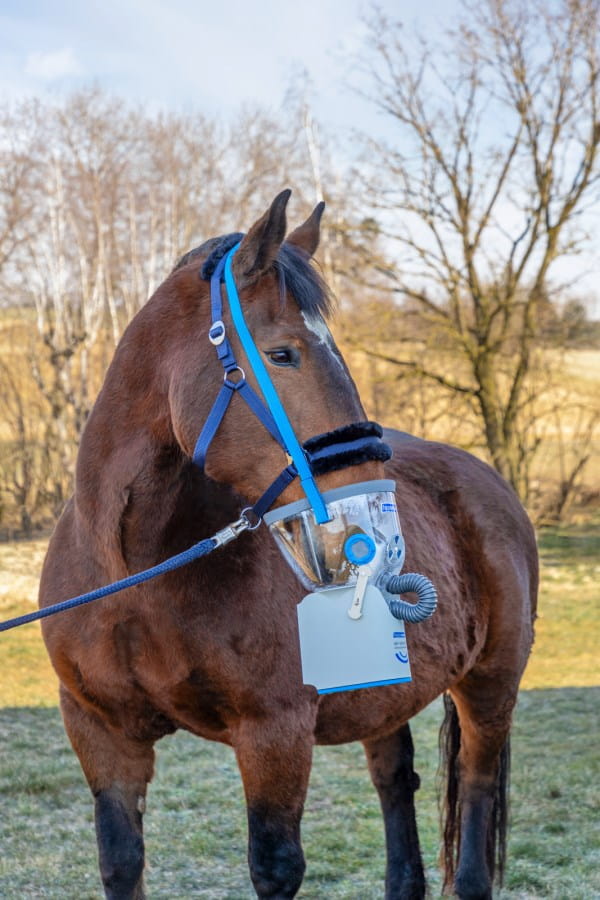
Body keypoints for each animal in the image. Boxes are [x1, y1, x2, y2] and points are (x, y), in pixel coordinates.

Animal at [39, 190, 537, 900]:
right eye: (283, 355)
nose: (374, 525)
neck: (136, 575)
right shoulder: (102, 734)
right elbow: (121, 861)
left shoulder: (273, 735)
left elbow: (275, 867)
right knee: (396, 787)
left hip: (490, 689)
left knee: (475, 799)